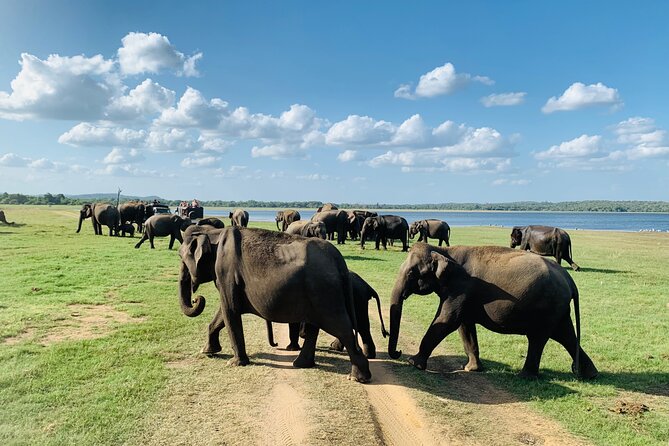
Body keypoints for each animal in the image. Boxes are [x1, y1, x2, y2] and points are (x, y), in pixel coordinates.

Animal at [175, 226, 370, 384]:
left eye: (181, 258)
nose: (197, 299)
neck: (213, 232)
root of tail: (339, 260)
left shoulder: (226, 272)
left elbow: (229, 309)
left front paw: (235, 363)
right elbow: (223, 313)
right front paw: (207, 351)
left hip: (324, 292)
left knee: (341, 327)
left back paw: (357, 377)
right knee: (316, 326)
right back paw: (301, 364)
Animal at [388, 242, 596, 378]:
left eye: (411, 273)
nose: (398, 352)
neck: (445, 251)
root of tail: (568, 278)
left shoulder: (460, 287)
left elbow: (447, 321)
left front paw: (413, 363)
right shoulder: (466, 295)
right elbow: (465, 326)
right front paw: (471, 369)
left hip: (548, 306)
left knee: (539, 338)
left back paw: (524, 376)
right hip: (558, 308)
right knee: (566, 336)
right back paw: (590, 374)